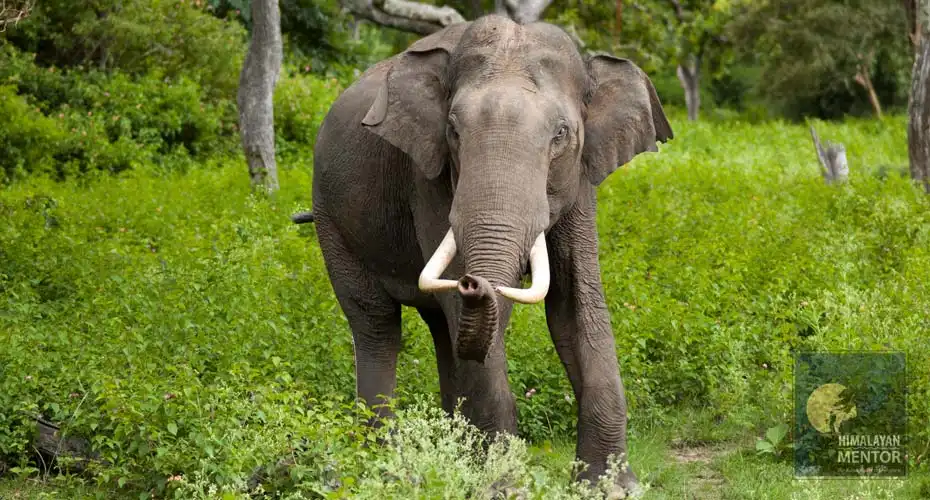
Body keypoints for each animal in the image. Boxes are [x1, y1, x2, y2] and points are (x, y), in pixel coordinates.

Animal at [296, 14, 672, 494]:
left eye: (561, 134)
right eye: (454, 131)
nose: (475, 282)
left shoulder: (582, 177)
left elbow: (575, 304)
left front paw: (611, 488)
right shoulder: (428, 176)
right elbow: (470, 312)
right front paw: (504, 488)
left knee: (442, 330)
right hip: (331, 218)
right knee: (377, 324)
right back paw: (387, 464)